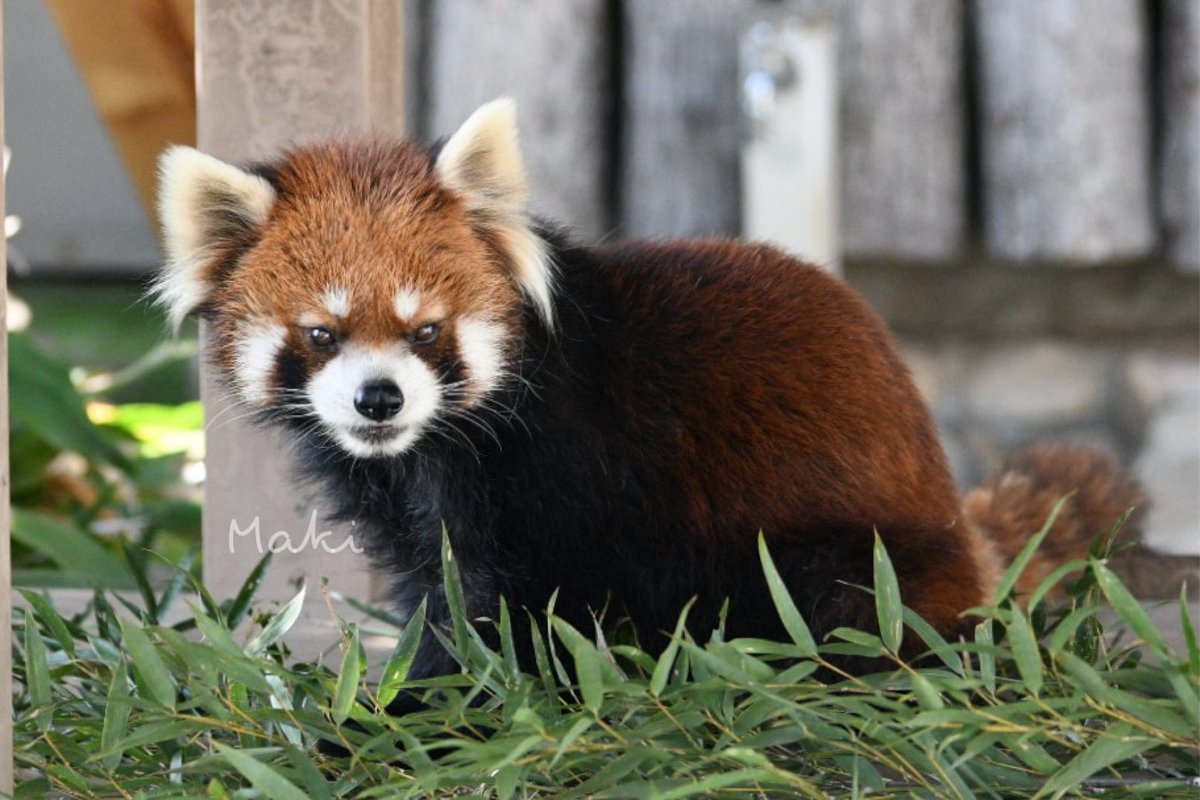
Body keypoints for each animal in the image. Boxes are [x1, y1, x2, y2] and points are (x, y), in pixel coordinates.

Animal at [152, 98, 1142, 695]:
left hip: (860, 554)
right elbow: (439, 583)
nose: (379, 400)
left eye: (426, 331)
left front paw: (430, 702)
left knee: (840, 601)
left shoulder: (561, 462)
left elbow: (514, 605)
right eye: (321, 336)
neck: (430, 450)